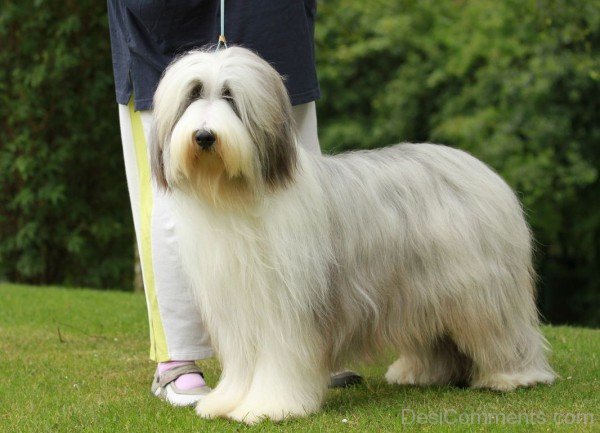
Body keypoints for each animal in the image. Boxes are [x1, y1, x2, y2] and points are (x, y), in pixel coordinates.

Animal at [149, 46, 552, 422]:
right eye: (192, 94)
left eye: (231, 97)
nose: (204, 136)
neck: (236, 196)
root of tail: (479, 168)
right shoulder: (238, 309)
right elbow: (243, 364)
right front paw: (226, 401)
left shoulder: (285, 309)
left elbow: (278, 361)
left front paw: (268, 405)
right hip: (421, 289)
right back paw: (420, 372)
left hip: (477, 289)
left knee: (500, 330)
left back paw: (513, 376)